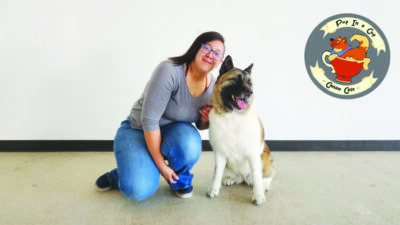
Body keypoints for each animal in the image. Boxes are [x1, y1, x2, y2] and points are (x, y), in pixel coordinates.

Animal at [206, 55, 276, 205]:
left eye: (250, 83)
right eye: (236, 80)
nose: (250, 92)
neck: (233, 116)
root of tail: (244, 177)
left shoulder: (253, 155)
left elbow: (256, 176)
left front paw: (258, 195)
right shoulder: (219, 154)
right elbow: (216, 173)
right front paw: (214, 189)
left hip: (264, 158)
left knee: (266, 176)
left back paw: (264, 185)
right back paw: (229, 179)